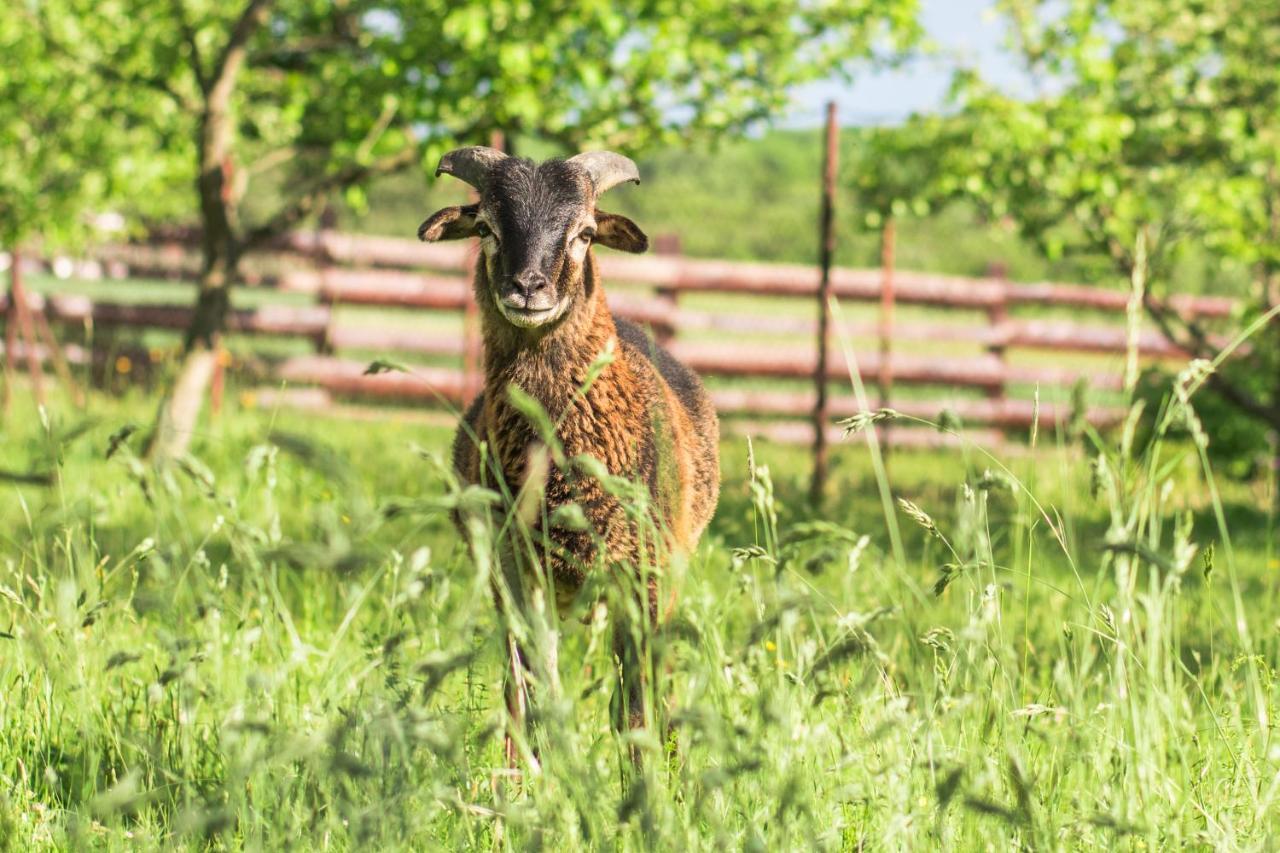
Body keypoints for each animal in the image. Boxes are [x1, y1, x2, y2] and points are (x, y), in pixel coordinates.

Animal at [419, 144, 721, 758]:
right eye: (485, 227)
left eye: (584, 233)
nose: (528, 288)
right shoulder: (516, 575)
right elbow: (533, 692)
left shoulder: (644, 579)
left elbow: (636, 709)